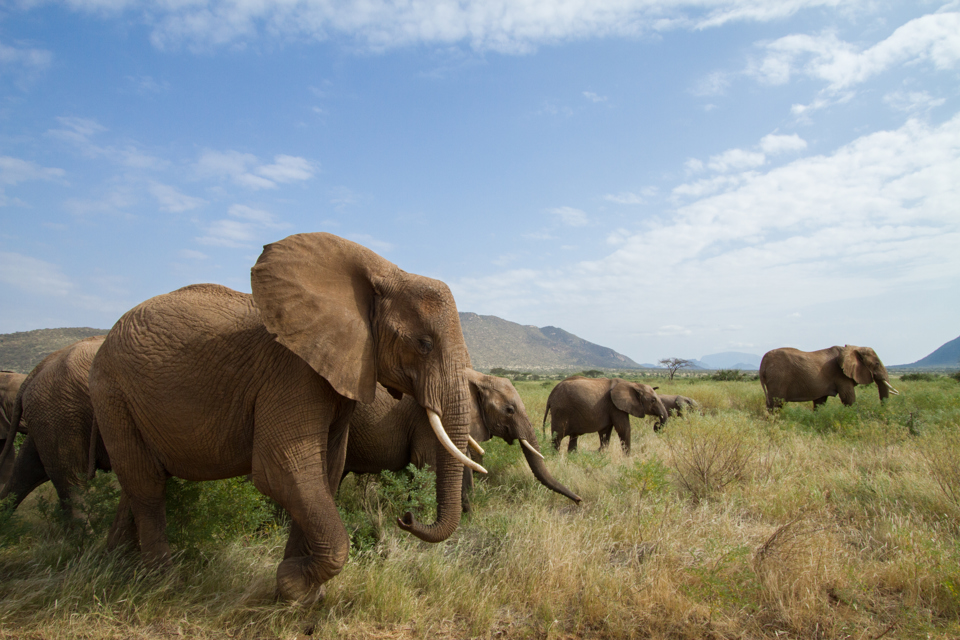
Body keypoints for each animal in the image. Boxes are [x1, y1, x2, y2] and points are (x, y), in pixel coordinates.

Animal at [87, 232, 482, 604]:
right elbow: (286, 471)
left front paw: (301, 595)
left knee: (137, 484)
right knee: (147, 486)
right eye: (423, 345)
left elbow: (325, 472)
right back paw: (163, 584)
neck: (385, 274)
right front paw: (293, 585)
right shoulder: (292, 374)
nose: (406, 517)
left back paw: (115, 567)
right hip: (112, 392)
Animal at [343, 370, 581, 512]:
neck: (476, 377)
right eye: (509, 410)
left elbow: (465, 461)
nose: (579, 500)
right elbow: (427, 465)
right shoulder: (427, 420)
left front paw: (468, 517)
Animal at [759, 345, 900, 410]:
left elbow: (820, 402)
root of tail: (763, 362)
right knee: (776, 404)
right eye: (876, 364)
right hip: (778, 378)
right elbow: (848, 398)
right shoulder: (840, 375)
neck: (852, 348)